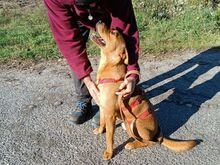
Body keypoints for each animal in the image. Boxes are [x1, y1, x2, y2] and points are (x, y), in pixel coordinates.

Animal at [90, 21, 197, 160]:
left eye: (114, 33)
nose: (99, 21)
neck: (109, 68)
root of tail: (158, 134)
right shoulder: (103, 108)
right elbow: (102, 122)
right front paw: (99, 130)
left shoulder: (110, 115)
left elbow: (109, 137)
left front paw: (109, 152)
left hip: (136, 124)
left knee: (149, 142)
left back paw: (132, 144)